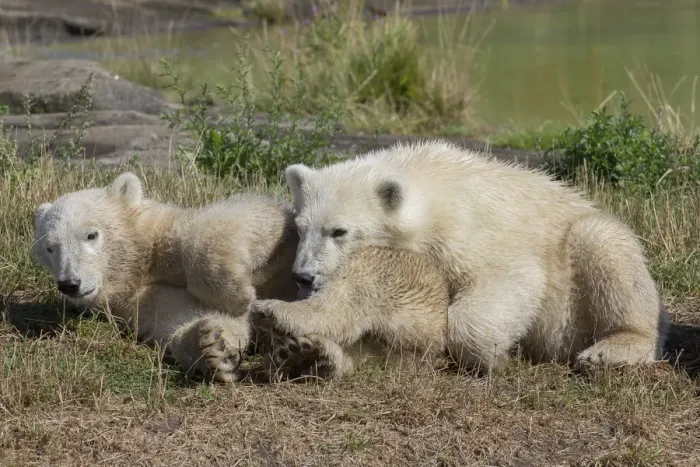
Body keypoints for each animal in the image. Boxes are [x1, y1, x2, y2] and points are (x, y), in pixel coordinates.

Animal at [33, 172, 300, 383]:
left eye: (91, 235)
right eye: (50, 247)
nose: (70, 283)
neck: (143, 260)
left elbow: (248, 213)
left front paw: (236, 295)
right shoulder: (139, 299)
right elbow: (193, 317)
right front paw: (210, 347)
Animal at [276, 139, 668, 374]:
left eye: (339, 231)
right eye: (300, 227)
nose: (303, 276)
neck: (432, 185)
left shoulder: (471, 230)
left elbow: (513, 278)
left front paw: (495, 356)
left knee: (603, 244)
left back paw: (612, 350)